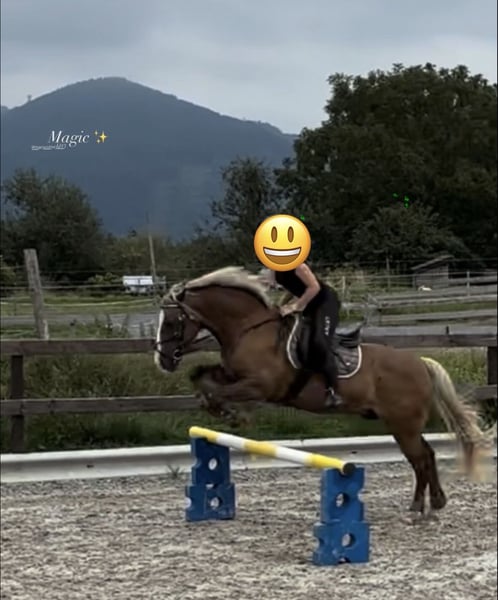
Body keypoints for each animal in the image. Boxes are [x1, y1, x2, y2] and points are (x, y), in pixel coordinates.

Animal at [154, 266, 494, 520]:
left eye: (170, 321)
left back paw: (423, 507)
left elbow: (223, 391)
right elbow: (201, 378)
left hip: (403, 424)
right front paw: (217, 408)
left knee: (421, 458)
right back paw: (429, 505)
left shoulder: (260, 385)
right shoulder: (232, 374)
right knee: (426, 456)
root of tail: (421, 363)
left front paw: (232, 414)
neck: (248, 329)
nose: (162, 360)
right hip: (401, 424)